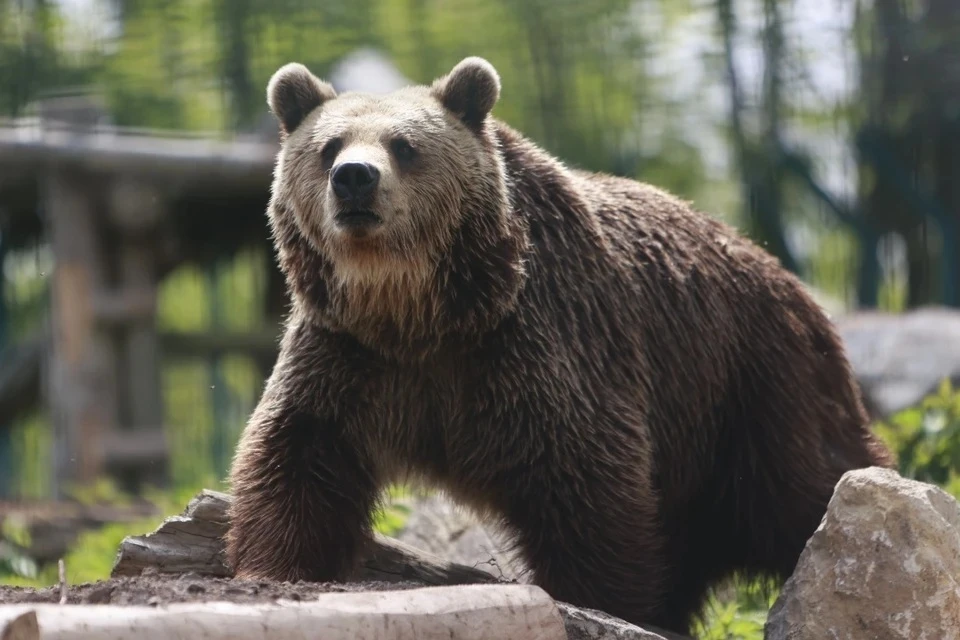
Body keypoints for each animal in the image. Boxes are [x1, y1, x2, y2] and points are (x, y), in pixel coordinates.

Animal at [227, 56, 900, 636]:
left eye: (404, 146)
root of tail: (789, 281)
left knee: (808, 483)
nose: (355, 179)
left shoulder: (541, 344)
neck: (421, 314)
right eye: (328, 147)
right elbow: (299, 458)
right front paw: (277, 566)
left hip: (752, 388)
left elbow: (586, 483)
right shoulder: (350, 358)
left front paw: (606, 604)